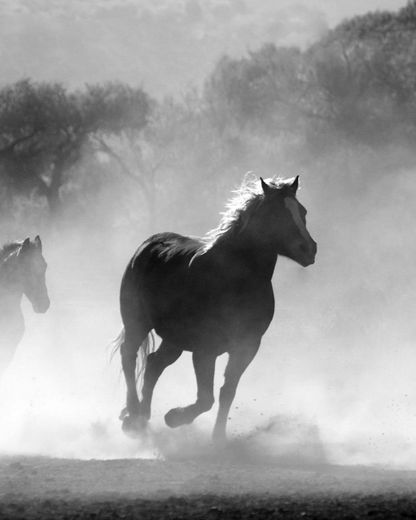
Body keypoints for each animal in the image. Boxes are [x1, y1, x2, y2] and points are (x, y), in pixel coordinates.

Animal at [115, 176, 316, 442]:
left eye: (302, 211)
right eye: (276, 214)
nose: (309, 249)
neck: (235, 279)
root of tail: (148, 245)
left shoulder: (247, 346)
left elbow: (227, 392)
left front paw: (218, 438)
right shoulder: (205, 349)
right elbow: (205, 399)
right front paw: (174, 417)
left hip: (174, 339)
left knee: (154, 363)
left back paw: (143, 417)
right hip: (137, 323)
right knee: (129, 356)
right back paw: (133, 416)